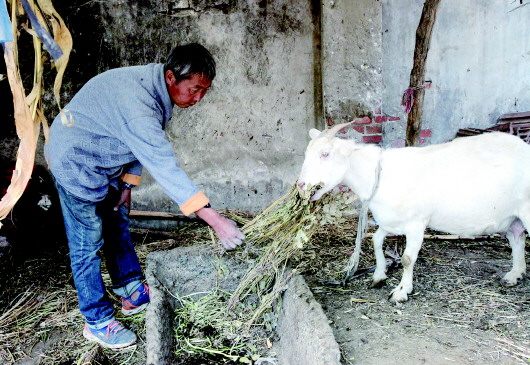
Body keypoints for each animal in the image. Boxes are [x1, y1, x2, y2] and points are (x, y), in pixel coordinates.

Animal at [296, 122, 528, 302]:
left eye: (325, 154)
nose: (301, 185)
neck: (379, 175)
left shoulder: (417, 222)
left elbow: (407, 258)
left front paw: (401, 292)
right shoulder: (391, 220)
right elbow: (376, 240)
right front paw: (379, 275)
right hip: (512, 216)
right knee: (517, 237)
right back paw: (514, 274)